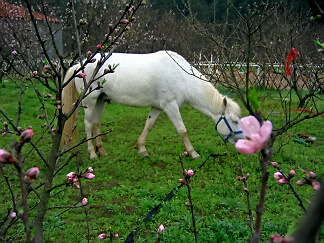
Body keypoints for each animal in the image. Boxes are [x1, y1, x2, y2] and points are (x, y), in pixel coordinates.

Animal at [61, 50, 243, 159]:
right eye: (234, 121)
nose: (243, 142)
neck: (182, 77)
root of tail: (79, 65)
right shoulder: (170, 106)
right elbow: (182, 130)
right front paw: (193, 153)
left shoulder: (158, 107)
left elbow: (148, 126)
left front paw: (142, 149)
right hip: (90, 102)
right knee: (88, 125)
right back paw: (92, 153)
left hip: (100, 100)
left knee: (96, 124)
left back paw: (102, 151)